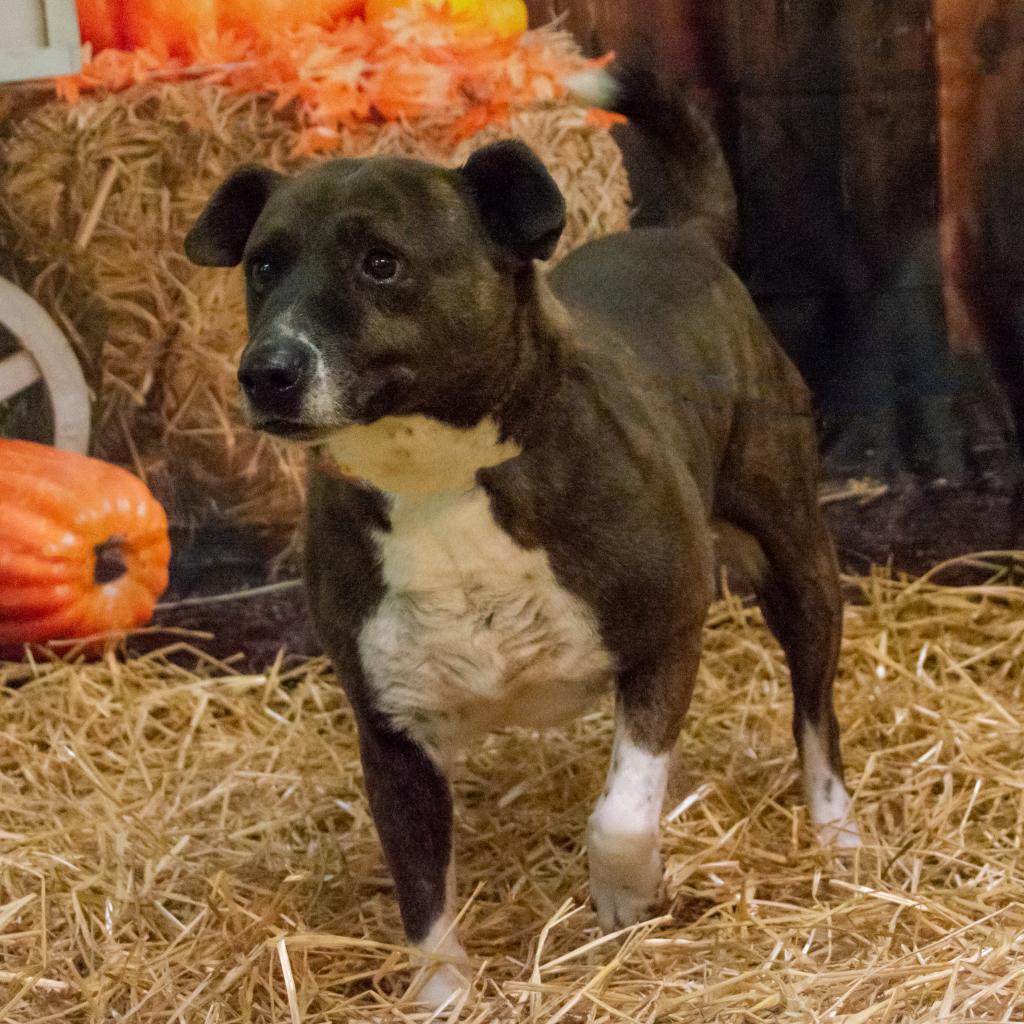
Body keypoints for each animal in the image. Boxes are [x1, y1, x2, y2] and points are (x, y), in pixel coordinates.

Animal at [188, 66, 860, 1007]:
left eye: (381, 262)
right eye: (263, 265)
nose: (266, 371)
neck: (436, 480)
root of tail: (683, 237)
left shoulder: (665, 638)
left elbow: (621, 815)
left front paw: (626, 895)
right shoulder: (392, 734)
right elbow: (424, 907)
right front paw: (444, 1000)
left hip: (797, 561)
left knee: (814, 712)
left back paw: (835, 827)